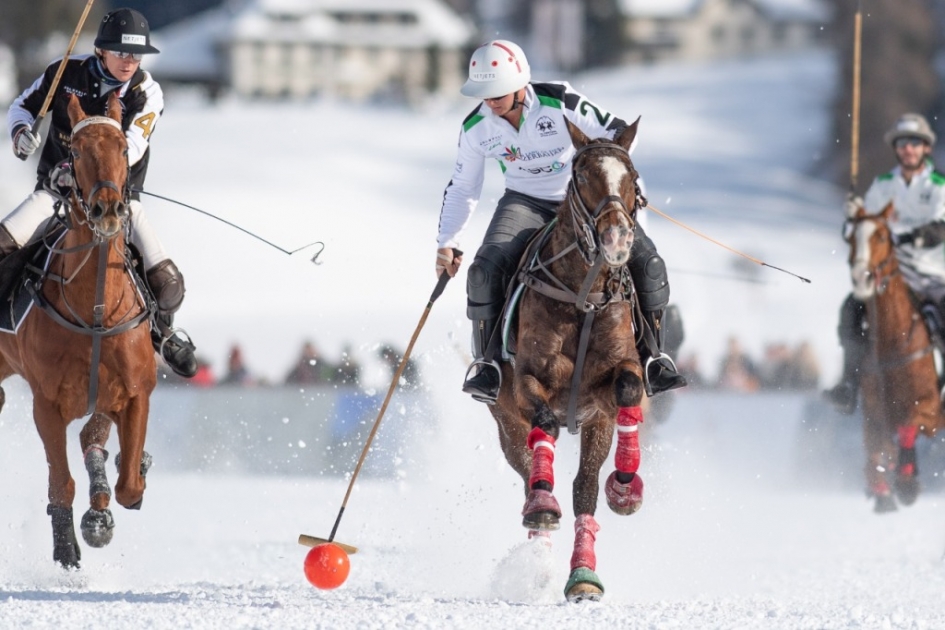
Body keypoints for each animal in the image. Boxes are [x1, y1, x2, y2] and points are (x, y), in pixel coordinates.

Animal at [0, 92, 157, 568]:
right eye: (76, 150)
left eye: (123, 149)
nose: (108, 209)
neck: (96, 313)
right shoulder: (46, 404)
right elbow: (61, 482)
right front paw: (66, 542)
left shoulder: (134, 392)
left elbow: (128, 486)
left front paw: (102, 512)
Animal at [486, 118, 648, 604]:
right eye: (581, 177)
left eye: (633, 178)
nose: (617, 239)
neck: (584, 294)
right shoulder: (527, 382)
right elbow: (546, 424)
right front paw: (542, 506)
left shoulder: (609, 395)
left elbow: (629, 389)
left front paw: (625, 489)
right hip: (505, 424)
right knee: (531, 474)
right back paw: (539, 539)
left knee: (582, 488)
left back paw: (581, 573)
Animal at [844, 205, 940, 516]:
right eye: (851, 236)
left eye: (883, 236)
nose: (861, 277)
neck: (895, 342)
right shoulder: (874, 406)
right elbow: (875, 443)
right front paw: (881, 491)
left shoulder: (931, 409)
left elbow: (908, 427)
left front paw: (907, 483)